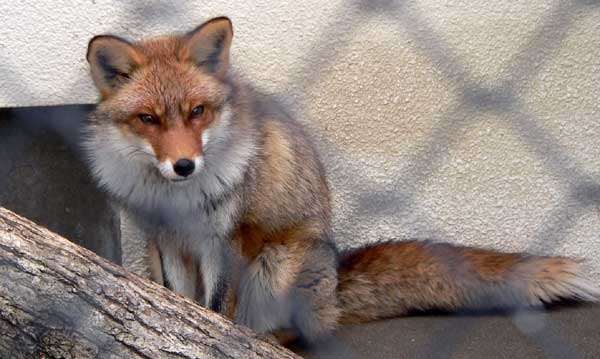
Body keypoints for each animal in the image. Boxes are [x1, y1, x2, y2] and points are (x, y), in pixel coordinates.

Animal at [81, 16, 600, 346]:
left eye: (197, 112)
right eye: (149, 119)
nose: (185, 165)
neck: (177, 198)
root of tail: (335, 281)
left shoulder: (221, 241)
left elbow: (213, 309)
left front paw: (209, 337)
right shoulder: (165, 240)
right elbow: (174, 303)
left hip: (275, 263)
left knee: (292, 330)